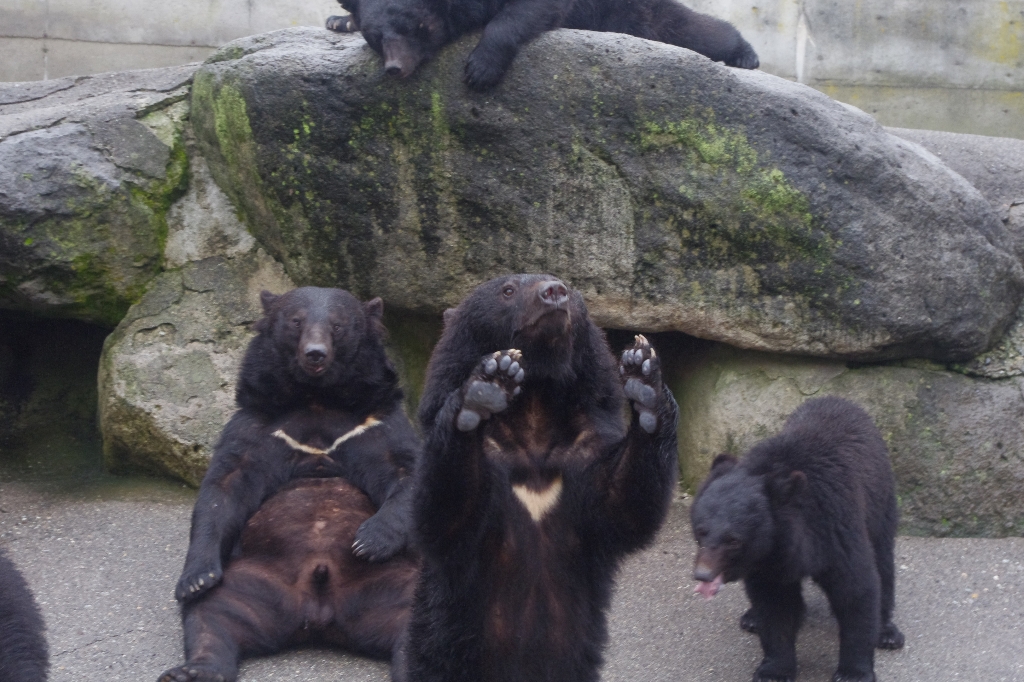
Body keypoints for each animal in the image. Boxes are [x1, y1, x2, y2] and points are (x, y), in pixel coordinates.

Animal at [156, 284, 419, 679]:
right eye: (296, 321)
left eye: (337, 325)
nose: (315, 353)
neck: (316, 397)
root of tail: (319, 614)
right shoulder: (260, 424)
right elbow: (224, 485)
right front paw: (194, 577)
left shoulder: (376, 422)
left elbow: (408, 469)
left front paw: (369, 541)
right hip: (250, 581)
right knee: (211, 615)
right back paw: (192, 670)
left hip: (400, 581)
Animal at [399, 274, 679, 679]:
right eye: (508, 290)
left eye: (572, 290)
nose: (554, 291)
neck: (535, 404)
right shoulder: (490, 458)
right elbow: (445, 512)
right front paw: (486, 387)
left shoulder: (583, 451)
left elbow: (624, 504)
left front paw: (645, 380)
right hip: (440, 650)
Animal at [688, 393, 905, 679]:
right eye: (700, 531)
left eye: (733, 540)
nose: (702, 575)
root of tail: (840, 399)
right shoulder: (769, 562)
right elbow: (775, 604)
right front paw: (774, 670)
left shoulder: (836, 524)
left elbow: (856, 588)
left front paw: (853, 672)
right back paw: (752, 618)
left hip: (880, 501)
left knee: (883, 559)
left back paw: (887, 632)